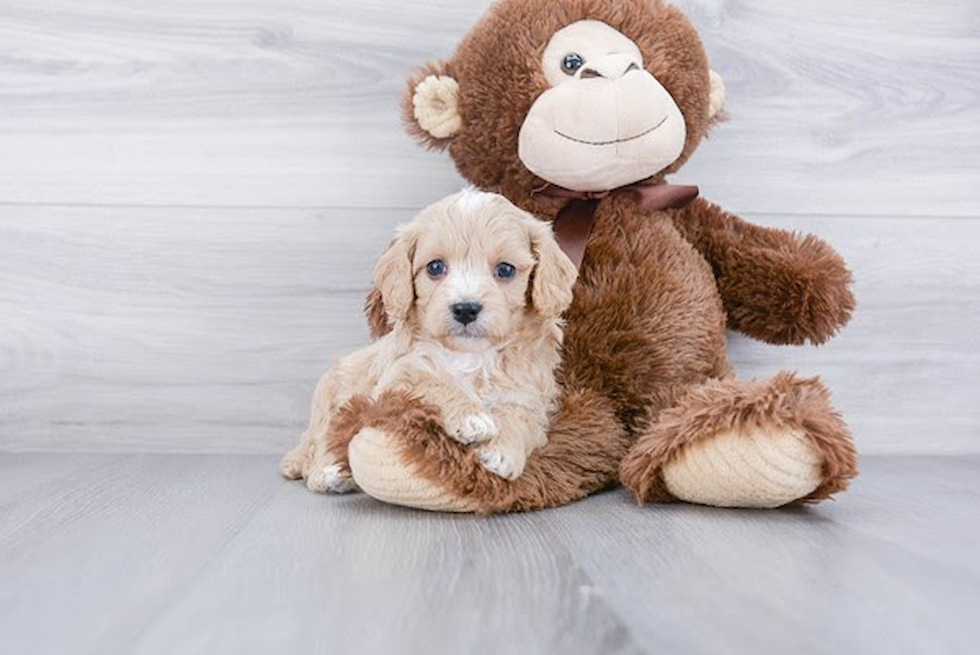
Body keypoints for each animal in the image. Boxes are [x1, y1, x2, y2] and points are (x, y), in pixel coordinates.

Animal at [280, 188, 580, 492]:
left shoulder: (529, 395)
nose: (466, 309)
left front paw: (502, 451)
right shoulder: (399, 377)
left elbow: (521, 418)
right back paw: (330, 474)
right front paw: (471, 417)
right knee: (320, 448)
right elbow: (435, 382)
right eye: (435, 267)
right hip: (329, 405)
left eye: (505, 270)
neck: (472, 357)